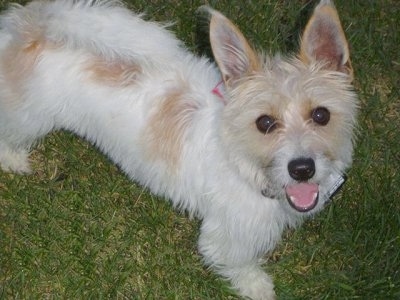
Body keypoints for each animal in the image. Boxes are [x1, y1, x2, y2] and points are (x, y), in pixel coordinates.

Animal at [0, 1, 358, 298]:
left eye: (321, 115)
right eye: (265, 122)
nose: (302, 168)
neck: (239, 155)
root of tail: (31, 23)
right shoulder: (226, 237)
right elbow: (239, 264)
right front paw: (257, 286)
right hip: (30, 117)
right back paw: (14, 159)